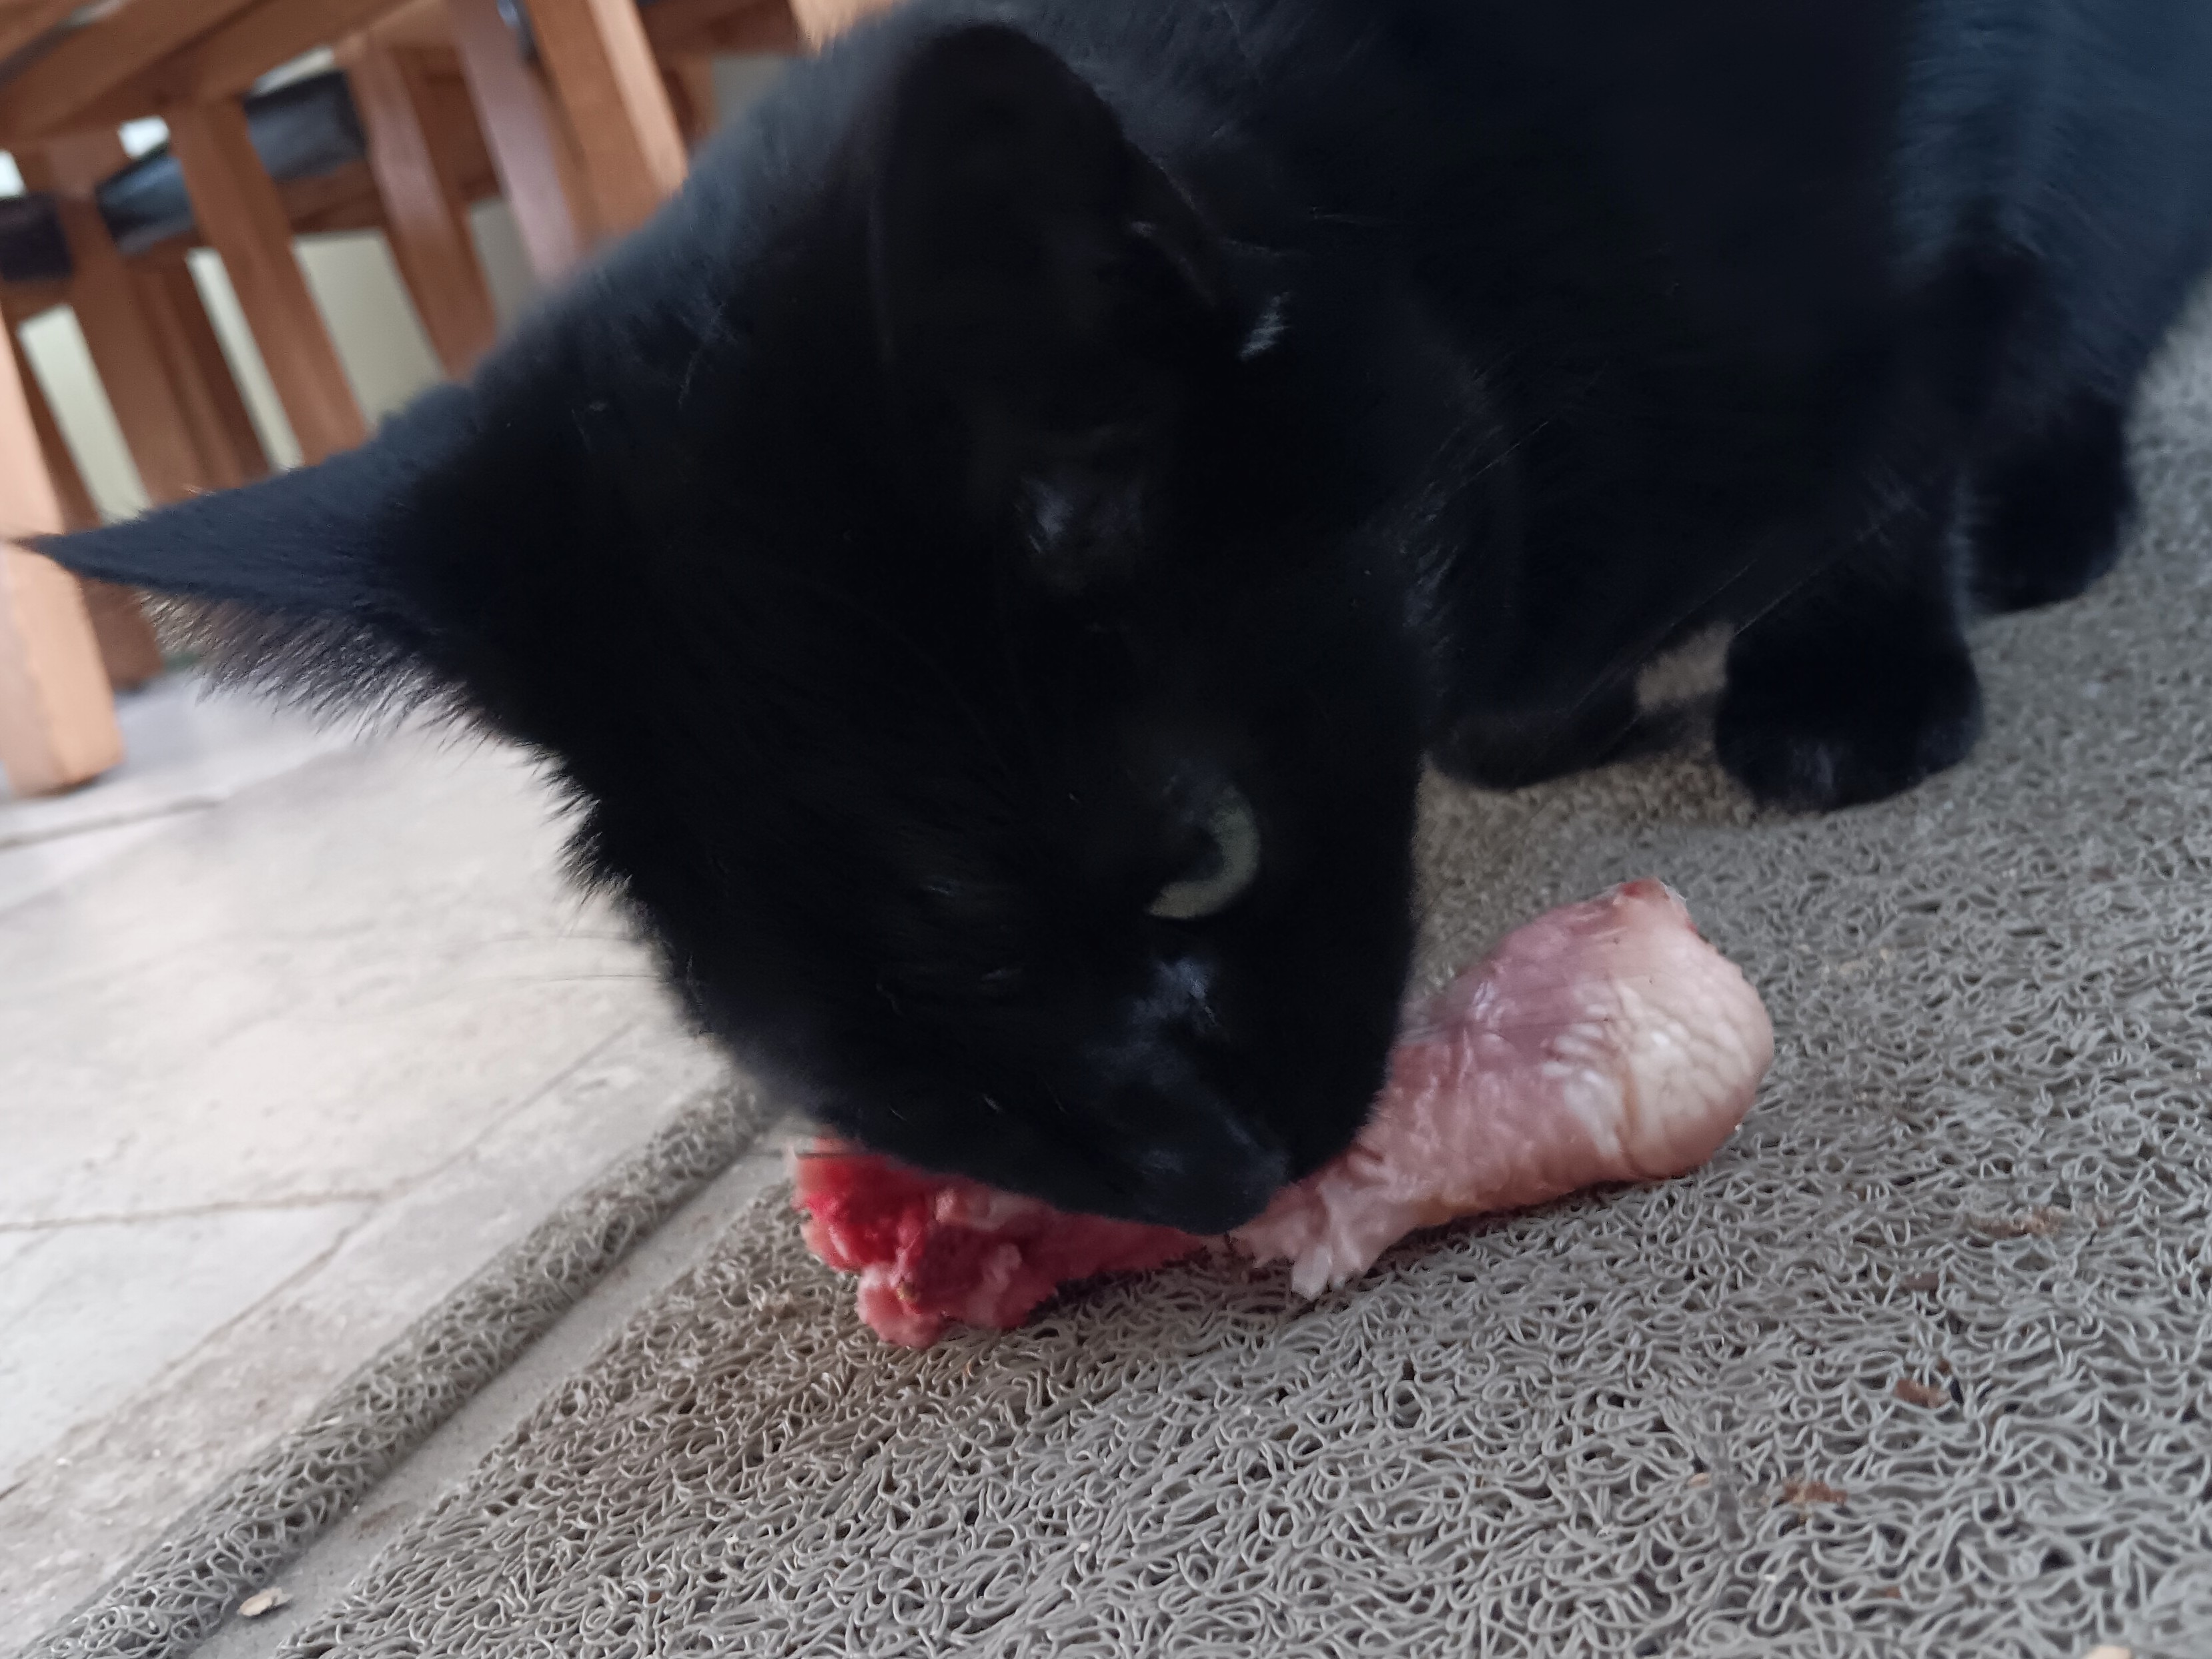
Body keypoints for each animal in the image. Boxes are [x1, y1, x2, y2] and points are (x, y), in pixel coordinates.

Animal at [35, 0, 2212, 1231]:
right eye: (841, 1036)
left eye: (1201, 863)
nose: (1205, 1179)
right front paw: (1540, 711)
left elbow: (1912, 395)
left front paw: (1845, 668)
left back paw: (2040, 520)